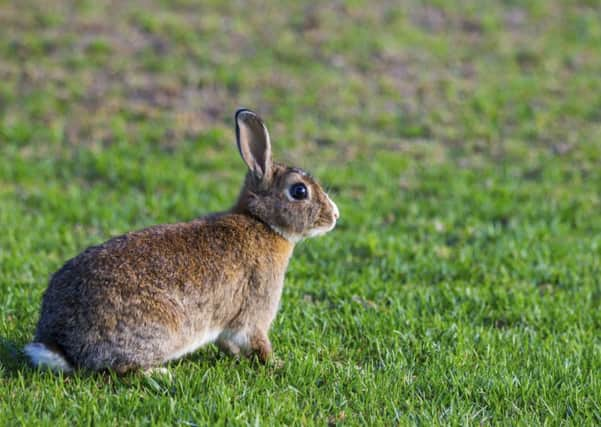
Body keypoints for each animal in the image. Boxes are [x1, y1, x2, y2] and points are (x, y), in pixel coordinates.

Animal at [23, 109, 340, 374]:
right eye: (299, 191)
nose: (335, 216)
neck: (262, 223)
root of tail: (60, 345)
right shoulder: (255, 312)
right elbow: (257, 343)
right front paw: (278, 363)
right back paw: (159, 373)